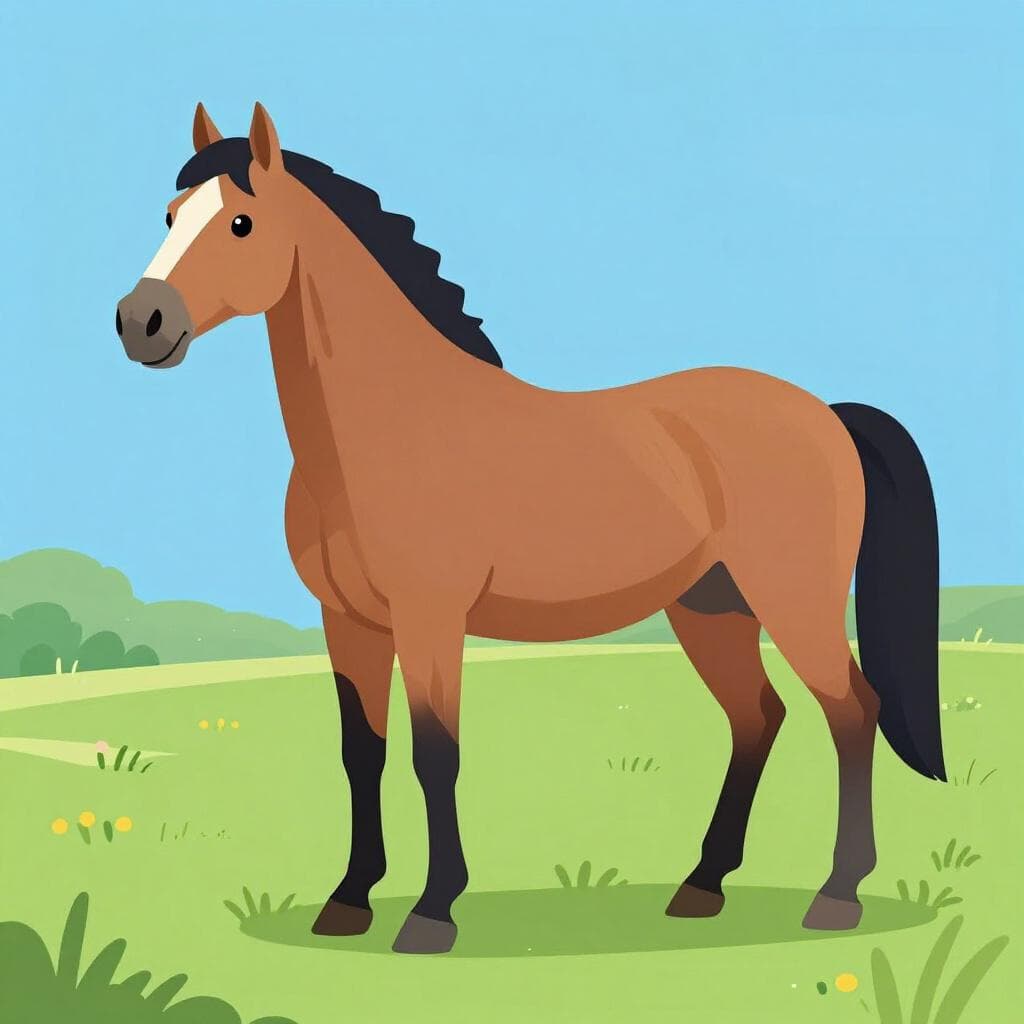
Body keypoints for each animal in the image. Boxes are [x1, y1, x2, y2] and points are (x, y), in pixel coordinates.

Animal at [116, 103, 945, 955]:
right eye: (172, 215)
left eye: (241, 222)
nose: (141, 322)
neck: (391, 425)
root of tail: (827, 415)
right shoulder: (347, 621)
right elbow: (362, 752)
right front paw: (348, 901)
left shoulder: (431, 619)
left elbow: (434, 753)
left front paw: (431, 913)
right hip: (711, 608)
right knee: (758, 717)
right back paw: (702, 886)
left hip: (793, 602)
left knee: (852, 713)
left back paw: (837, 896)